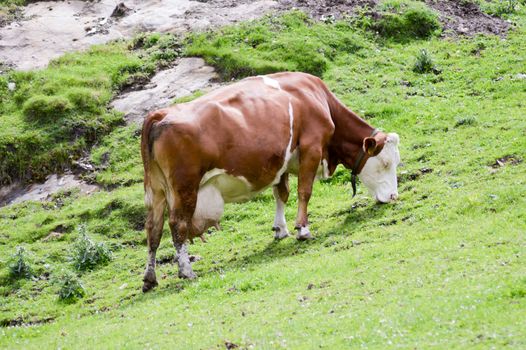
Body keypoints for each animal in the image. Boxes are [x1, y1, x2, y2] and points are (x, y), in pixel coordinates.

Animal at [140, 69, 400, 292]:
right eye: (386, 163)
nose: (394, 196)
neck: (318, 100)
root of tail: (159, 114)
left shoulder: (281, 160)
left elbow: (282, 193)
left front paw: (280, 229)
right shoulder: (312, 148)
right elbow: (304, 191)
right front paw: (302, 229)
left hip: (155, 189)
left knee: (153, 229)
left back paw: (150, 279)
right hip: (185, 186)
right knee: (178, 224)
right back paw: (186, 271)